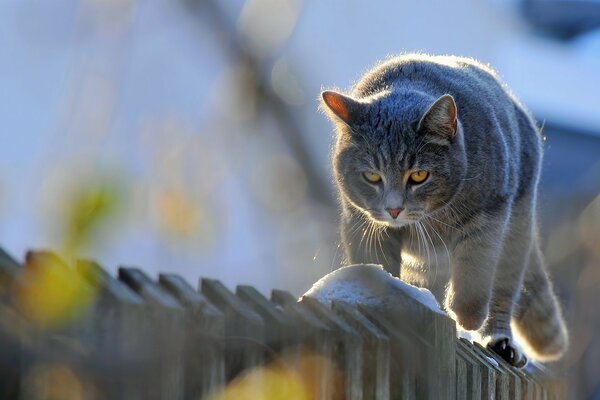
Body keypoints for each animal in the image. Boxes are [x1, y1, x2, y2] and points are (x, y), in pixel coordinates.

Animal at [318, 54, 568, 368]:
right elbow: (377, 264)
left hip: (516, 231)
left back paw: (499, 341)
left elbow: (474, 273)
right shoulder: (362, 223)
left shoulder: (490, 216)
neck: (432, 219)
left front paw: (467, 317)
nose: (394, 209)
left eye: (419, 175)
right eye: (372, 176)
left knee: (503, 291)